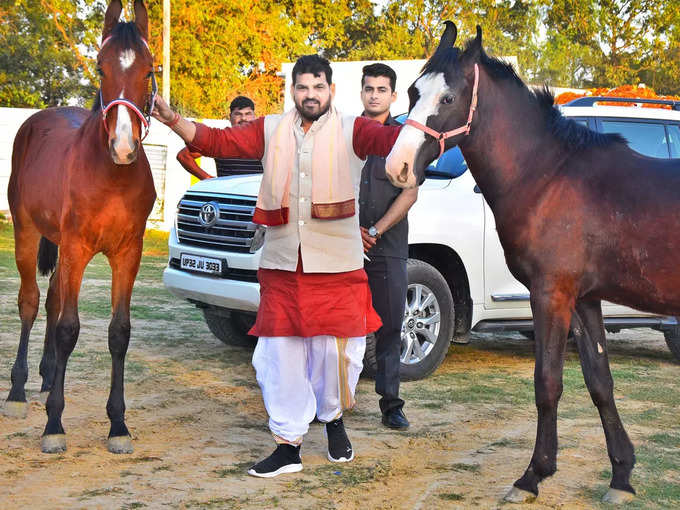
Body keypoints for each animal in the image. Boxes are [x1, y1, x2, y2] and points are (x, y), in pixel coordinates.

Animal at [4, 0, 155, 454]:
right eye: (101, 68)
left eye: (149, 70)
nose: (122, 147)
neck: (111, 177)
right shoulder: (76, 249)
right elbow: (68, 328)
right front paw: (54, 425)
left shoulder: (128, 254)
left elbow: (119, 332)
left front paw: (118, 425)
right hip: (27, 234)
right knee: (31, 302)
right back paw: (17, 391)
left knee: (53, 299)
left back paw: (47, 375)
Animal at [388, 20, 680, 506]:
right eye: (412, 92)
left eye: (448, 99)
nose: (398, 167)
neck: (549, 175)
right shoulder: (584, 300)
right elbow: (600, 382)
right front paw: (621, 475)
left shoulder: (550, 294)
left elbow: (548, 383)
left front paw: (532, 475)